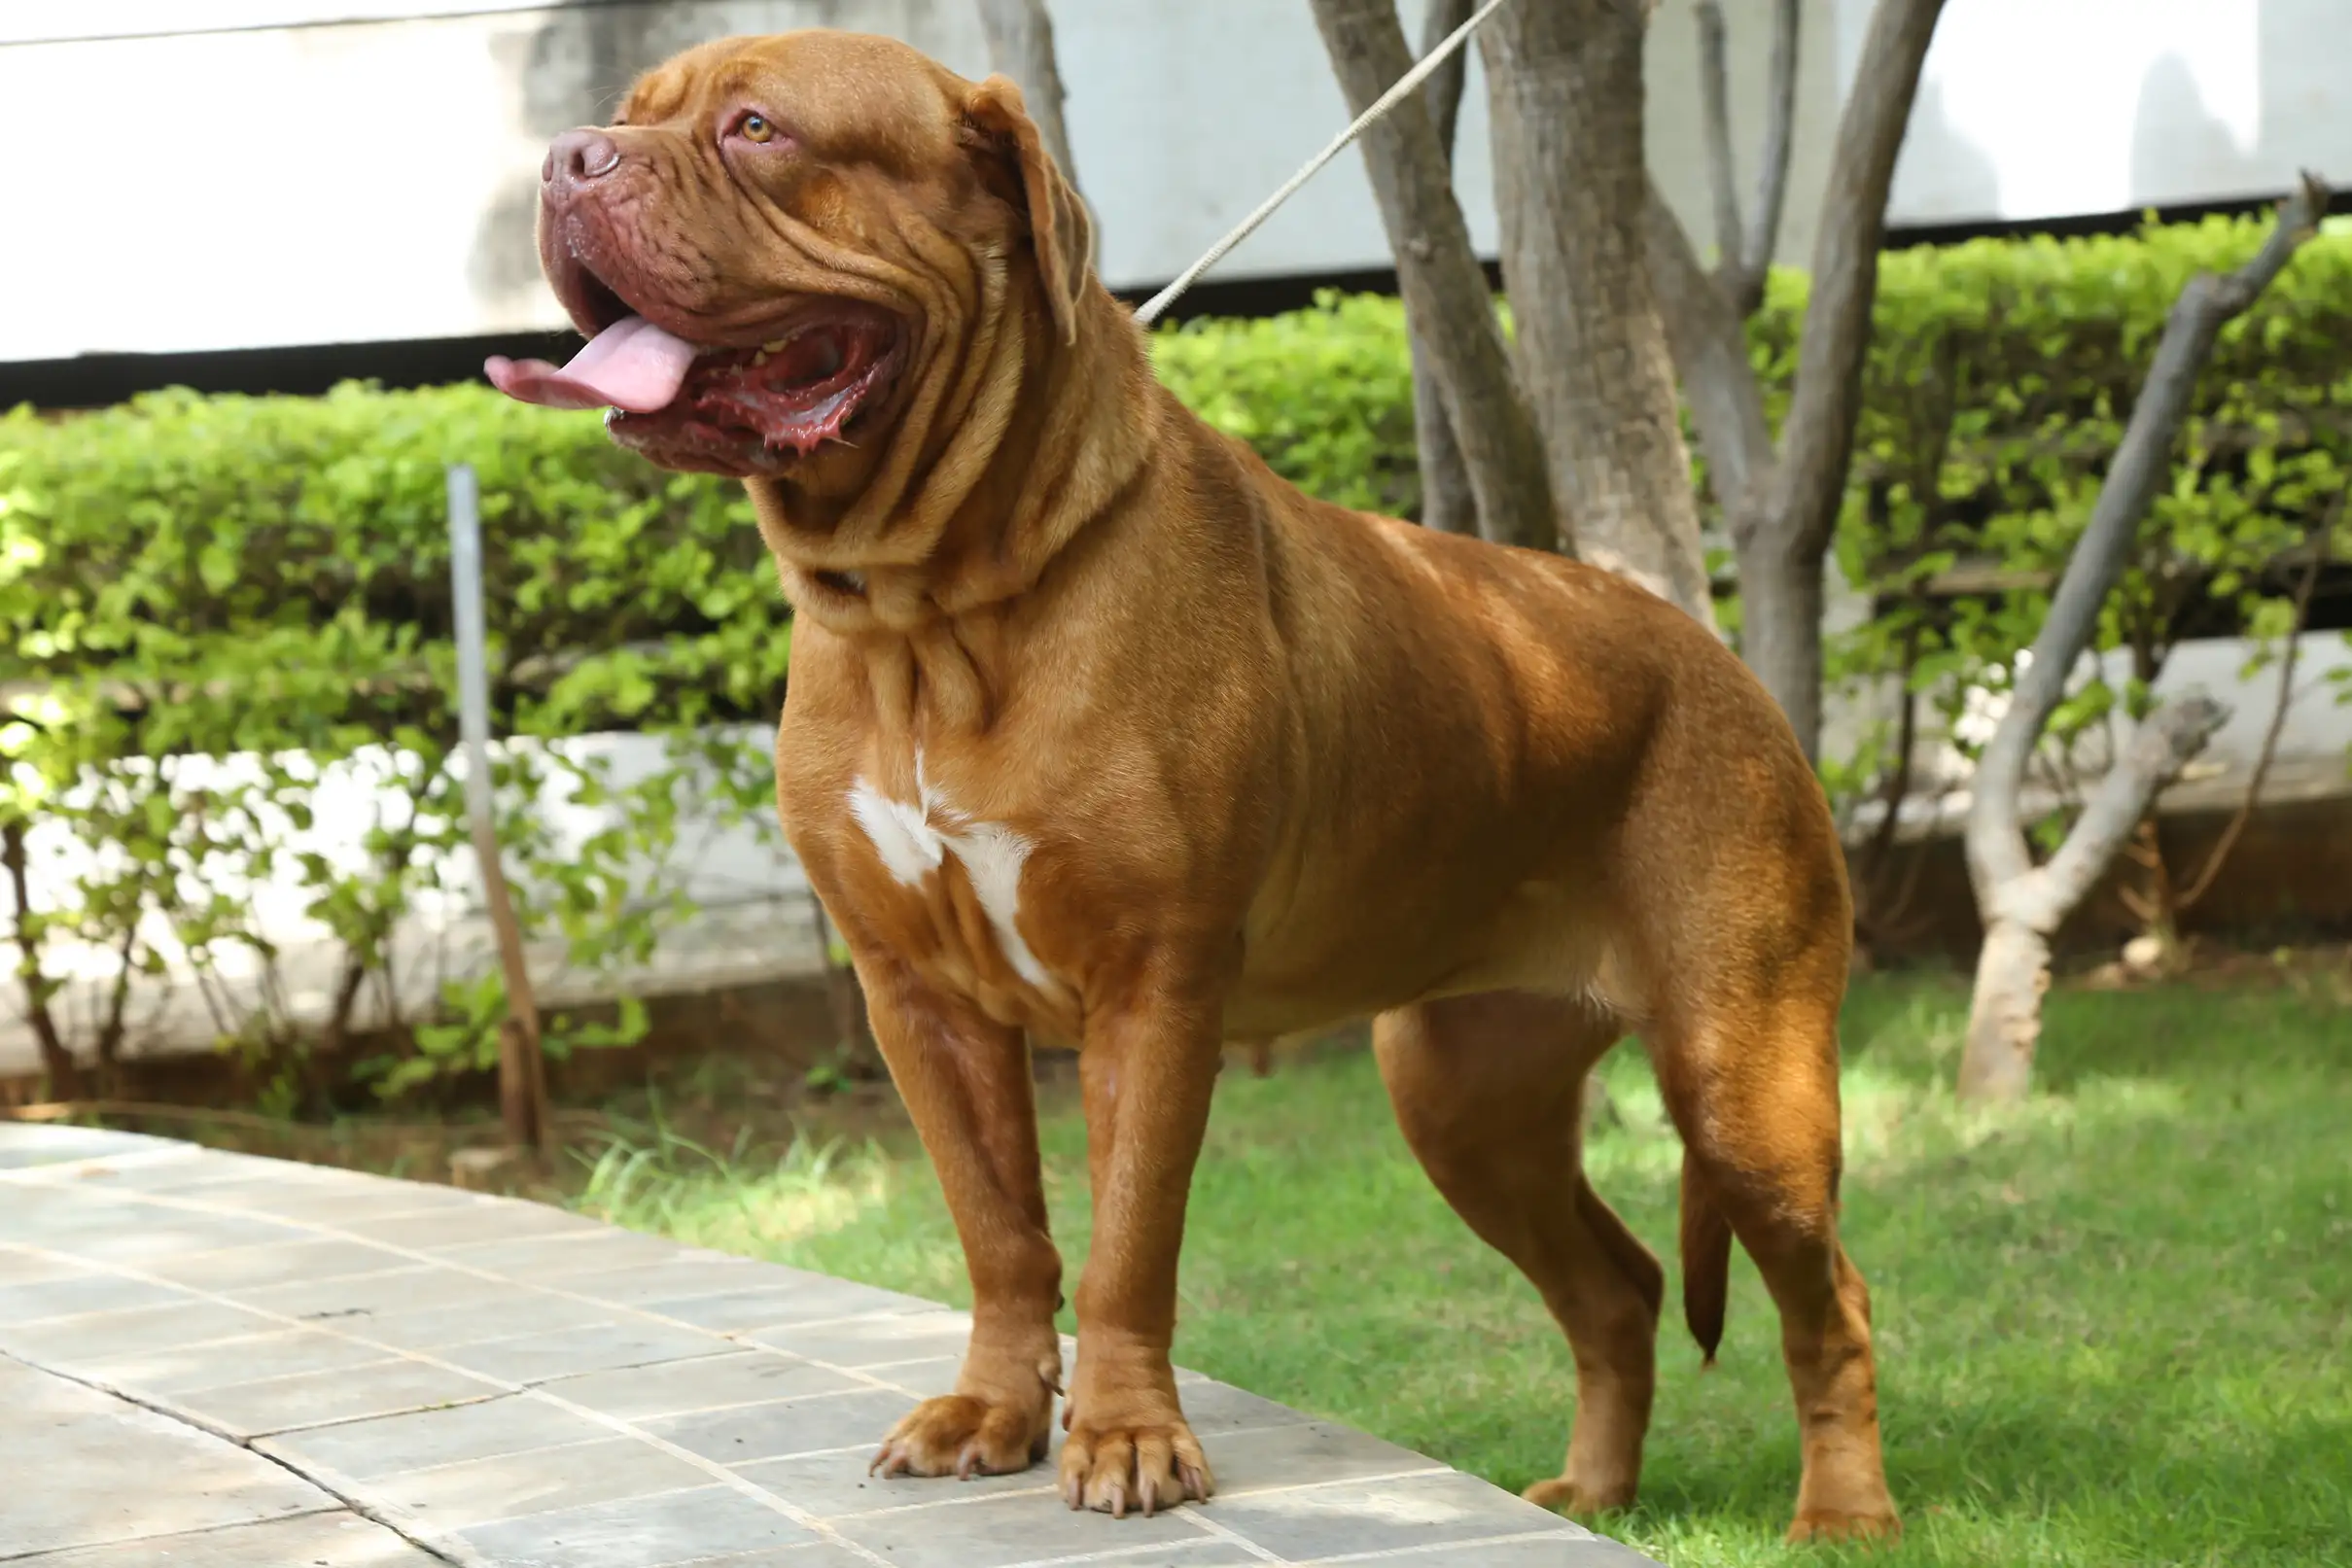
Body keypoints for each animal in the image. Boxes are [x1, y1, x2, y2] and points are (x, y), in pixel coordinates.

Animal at [486, 24, 1900, 1542]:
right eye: (627, 114)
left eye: (756, 129)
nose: (567, 158)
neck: (933, 611)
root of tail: (1715, 657)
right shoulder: (915, 996)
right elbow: (997, 1228)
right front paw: (991, 1409)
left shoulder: (1151, 984)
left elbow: (1125, 1239)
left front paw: (1124, 1436)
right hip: (1464, 1103)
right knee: (1614, 1287)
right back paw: (1590, 1488)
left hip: (1742, 1077)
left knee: (1829, 1297)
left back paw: (1842, 1512)